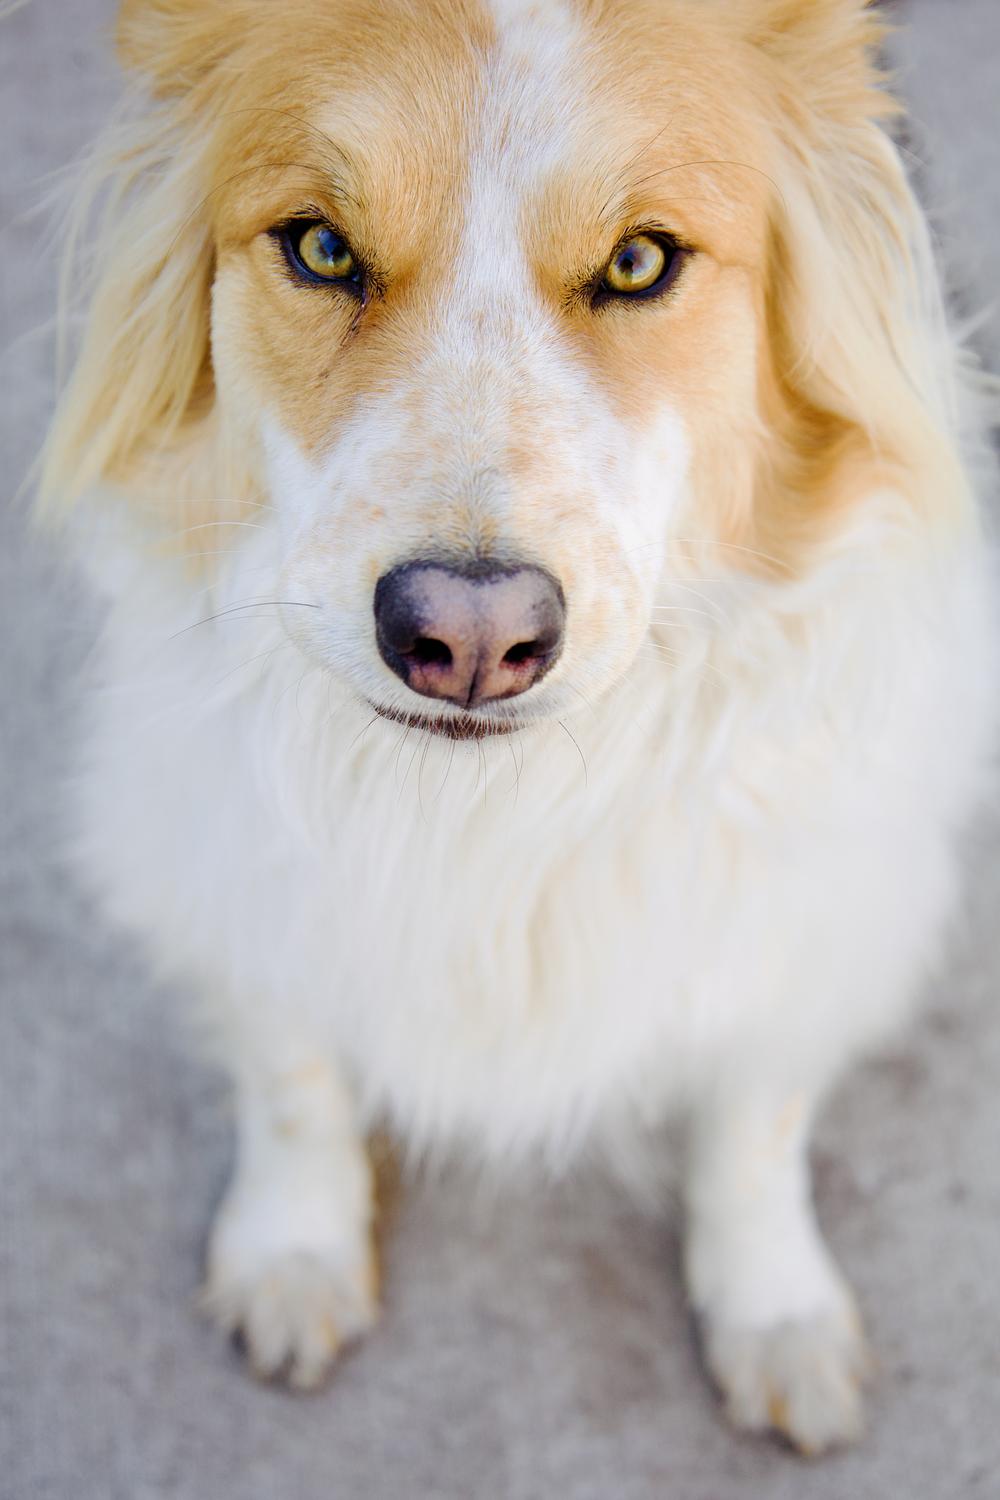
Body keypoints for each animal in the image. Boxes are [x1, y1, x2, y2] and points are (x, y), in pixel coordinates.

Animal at [40, 0, 996, 1455]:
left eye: (641, 261)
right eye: (321, 248)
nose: (470, 640)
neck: (487, 801)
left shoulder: (813, 909)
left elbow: (753, 1129)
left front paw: (776, 1313)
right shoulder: (220, 852)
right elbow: (292, 1077)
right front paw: (294, 1248)